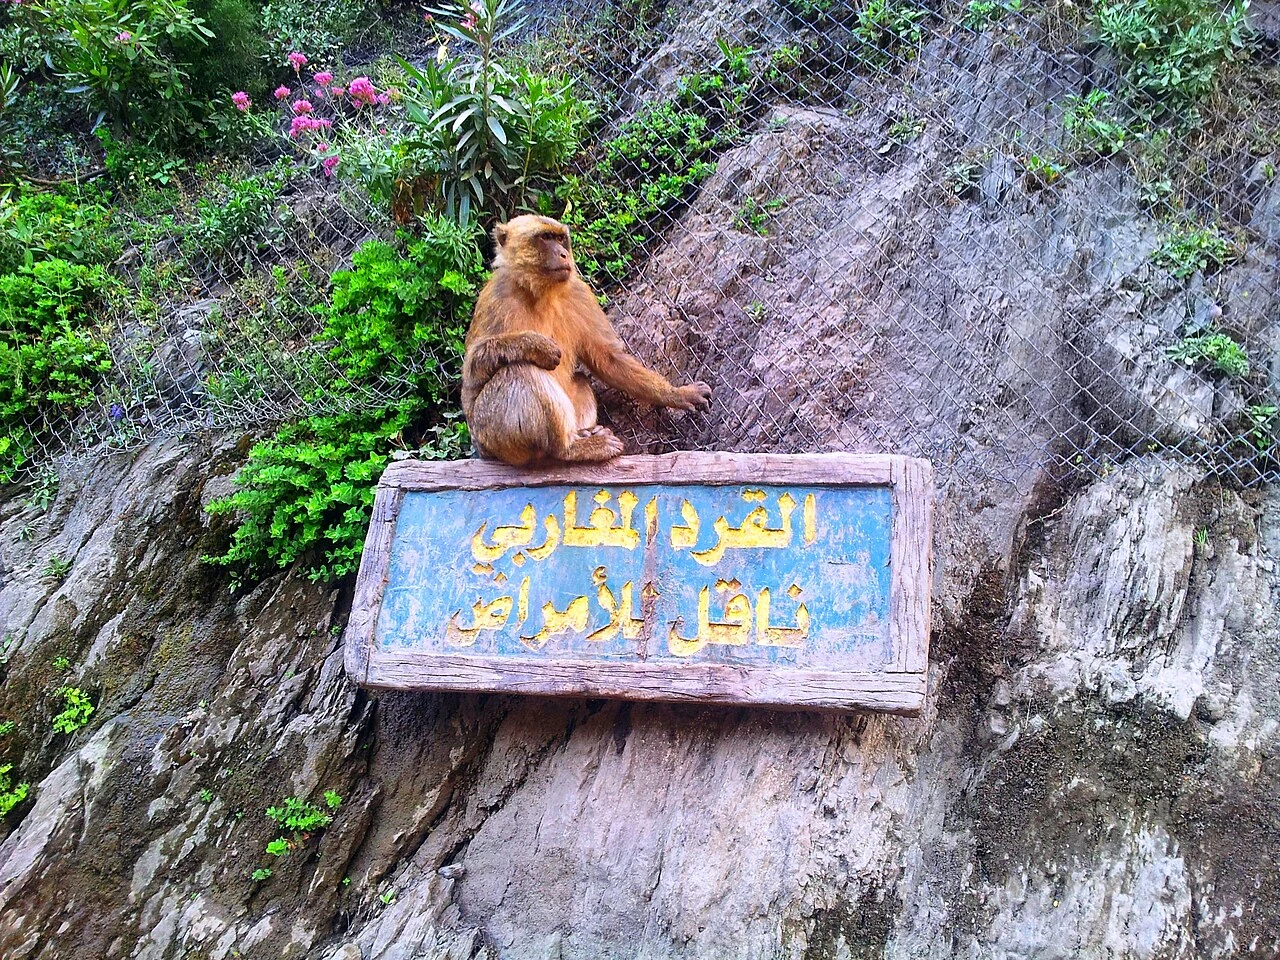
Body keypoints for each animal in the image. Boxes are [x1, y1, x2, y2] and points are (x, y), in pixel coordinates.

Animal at [461, 215, 712, 467]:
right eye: (545, 237)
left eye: (561, 239)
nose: (563, 254)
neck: (540, 293)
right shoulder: (495, 296)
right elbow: (472, 374)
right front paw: (535, 345)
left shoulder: (579, 292)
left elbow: (608, 359)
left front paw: (678, 394)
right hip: (491, 435)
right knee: (520, 371)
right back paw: (567, 448)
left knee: (576, 379)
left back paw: (583, 435)